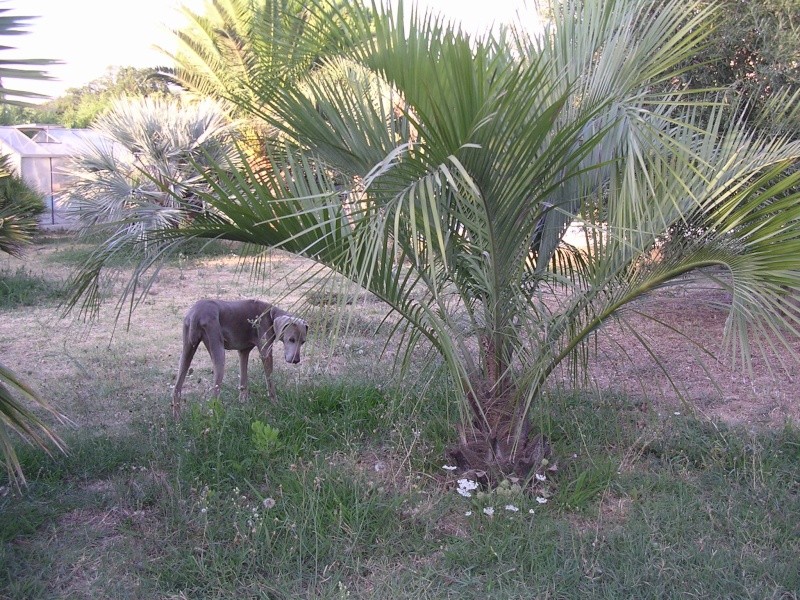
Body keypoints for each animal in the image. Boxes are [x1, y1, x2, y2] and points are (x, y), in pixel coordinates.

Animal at [171, 298, 306, 418]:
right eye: (291, 339)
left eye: (303, 342)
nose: (296, 360)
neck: (271, 315)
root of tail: (196, 313)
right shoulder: (265, 354)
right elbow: (270, 382)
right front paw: (275, 404)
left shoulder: (243, 352)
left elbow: (243, 382)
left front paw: (243, 405)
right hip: (218, 351)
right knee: (214, 393)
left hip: (186, 352)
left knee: (176, 388)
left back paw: (177, 419)